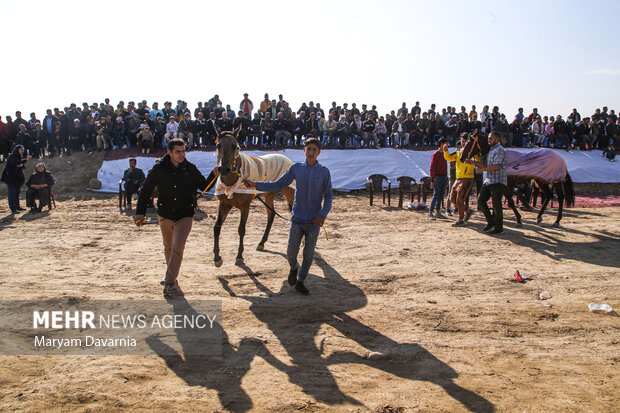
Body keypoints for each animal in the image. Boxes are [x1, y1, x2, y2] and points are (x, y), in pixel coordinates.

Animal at [213, 127, 296, 266]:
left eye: (234, 146)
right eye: (218, 145)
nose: (224, 169)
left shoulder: (245, 206)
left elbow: (241, 229)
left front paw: (239, 256)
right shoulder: (224, 204)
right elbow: (217, 227)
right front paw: (217, 258)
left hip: (290, 192)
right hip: (269, 195)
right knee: (271, 215)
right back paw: (261, 243)